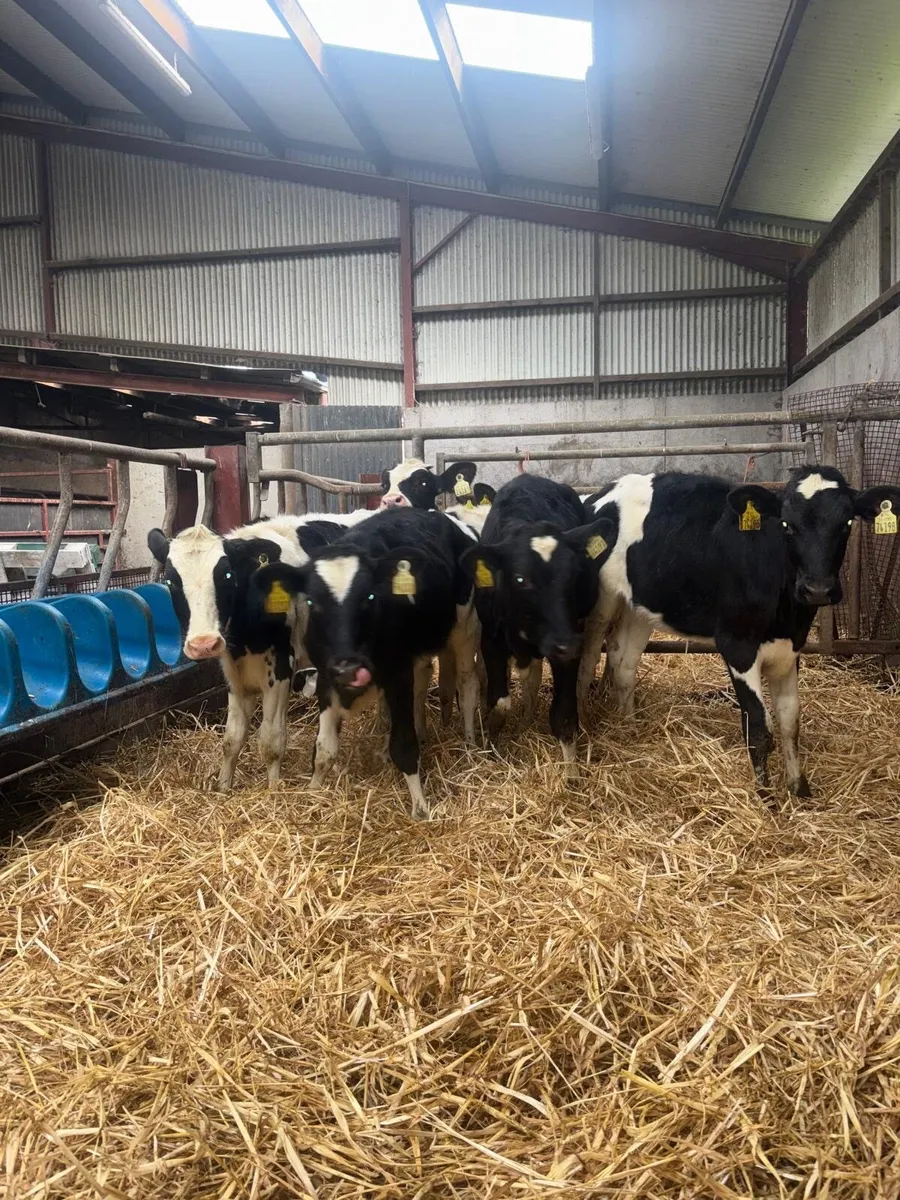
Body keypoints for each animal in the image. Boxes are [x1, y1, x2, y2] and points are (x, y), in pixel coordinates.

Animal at [147, 515, 347, 790]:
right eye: (170, 581)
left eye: (227, 575)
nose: (203, 643)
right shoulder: (234, 673)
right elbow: (232, 739)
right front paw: (223, 787)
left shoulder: (281, 669)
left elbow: (271, 743)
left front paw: (272, 791)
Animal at [250, 507, 480, 819]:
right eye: (312, 602)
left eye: (369, 597)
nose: (349, 669)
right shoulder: (327, 678)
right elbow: (324, 750)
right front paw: (313, 792)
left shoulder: (397, 675)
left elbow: (404, 747)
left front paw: (420, 808)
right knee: (423, 684)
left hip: (466, 630)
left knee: (468, 686)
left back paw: (470, 744)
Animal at [465, 474, 617, 777]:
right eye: (520, 578)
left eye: (575, 572)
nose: (566, 641)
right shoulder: (492, 640)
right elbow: (499, 704)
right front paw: (492, 748)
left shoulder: (568, 647)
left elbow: (564, 716)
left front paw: (571, 774)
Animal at [579, 465, 900, 797]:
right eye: (787, 525)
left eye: (847, 523)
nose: (818, 590)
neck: (785, 613)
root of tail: (602, 493)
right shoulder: (737, 646)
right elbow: (758, 728)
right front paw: (766, 797)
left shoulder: (791, 647)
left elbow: (790, 721)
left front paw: (799, 791)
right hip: (600, 604)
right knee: (588, 663)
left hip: (639, 606)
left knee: (623, 661)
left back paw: (629, 726)